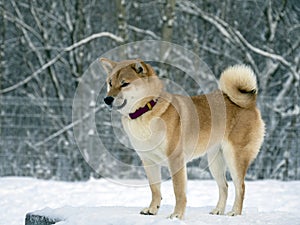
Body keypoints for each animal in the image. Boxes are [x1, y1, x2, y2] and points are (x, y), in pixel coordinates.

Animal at [101, 58, 264, 220]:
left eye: (124, 84)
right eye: (110, 83)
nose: (107, 99)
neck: (147, 110)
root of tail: (249, 103)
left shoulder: (175, 159)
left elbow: (178, 191)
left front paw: (177, 215)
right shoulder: (148, 160)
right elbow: (155, 189)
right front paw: (152, 209)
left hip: (234, 157)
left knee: (240, 187)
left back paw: (235, 212)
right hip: (215, 161)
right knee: (224, 186)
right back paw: (218, 211)